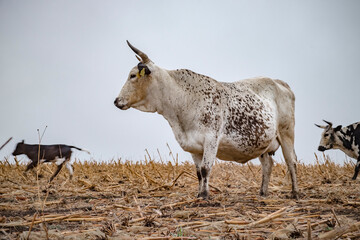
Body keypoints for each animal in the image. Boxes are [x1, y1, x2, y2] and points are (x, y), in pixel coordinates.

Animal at [114, 41, 300, 199]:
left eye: (132, 75)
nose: (116, 101)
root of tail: (278, 82)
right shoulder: (193, 146)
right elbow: (198, 173)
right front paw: (199, 193)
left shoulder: (211, 139)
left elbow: (205, 169)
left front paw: (204, 196)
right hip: (263, 142)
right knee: (268, 165)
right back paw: (263, 192)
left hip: (287, 133)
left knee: (291, 162)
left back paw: (295, 193)